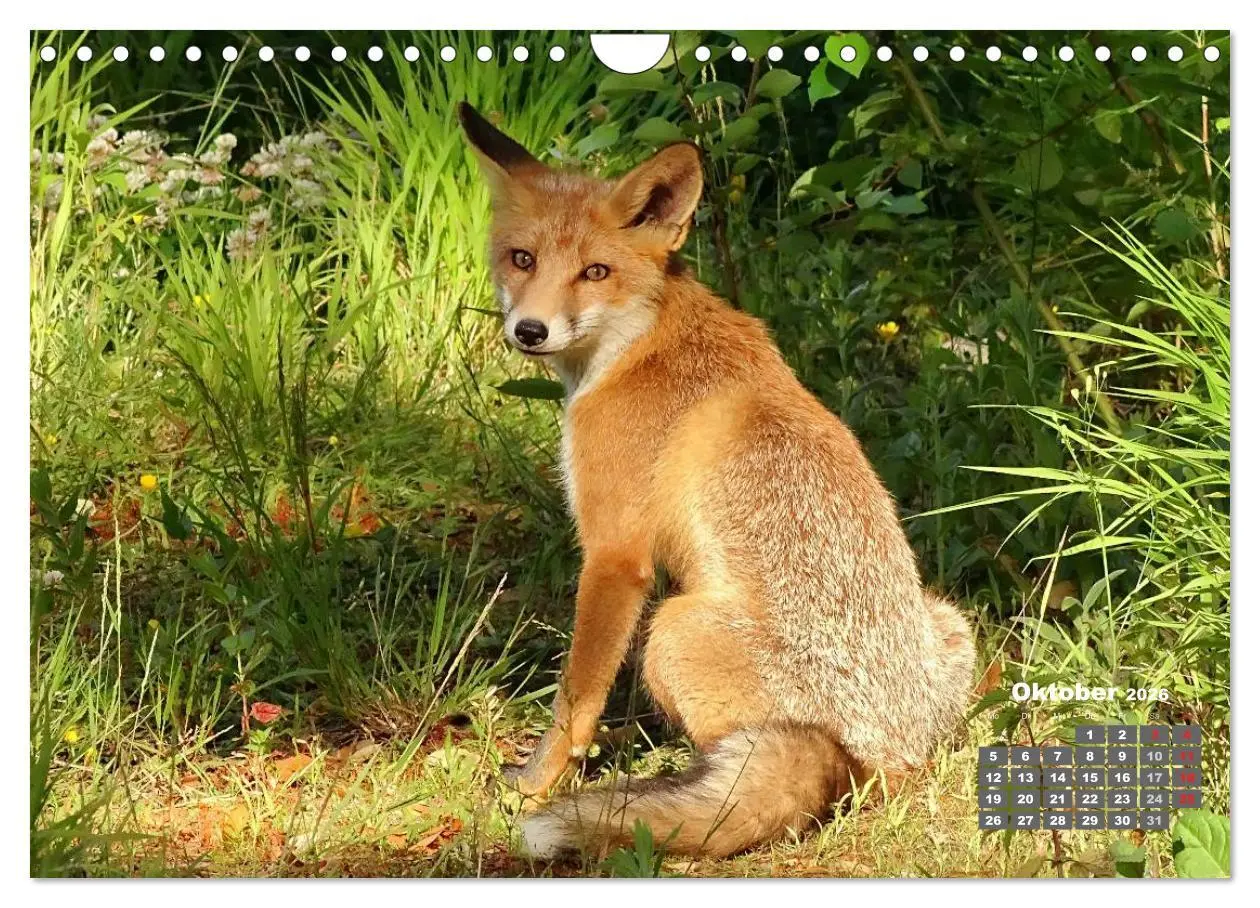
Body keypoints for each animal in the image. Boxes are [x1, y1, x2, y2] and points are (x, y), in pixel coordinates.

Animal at [458, 102, 976, 861]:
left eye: (594, 271)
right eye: (522, 259)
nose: (530, 331)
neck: (638, 341)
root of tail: (881, 760)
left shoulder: (616, 557)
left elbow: (575, 698)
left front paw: (537, 784)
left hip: (670, 630)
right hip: (950, 620)